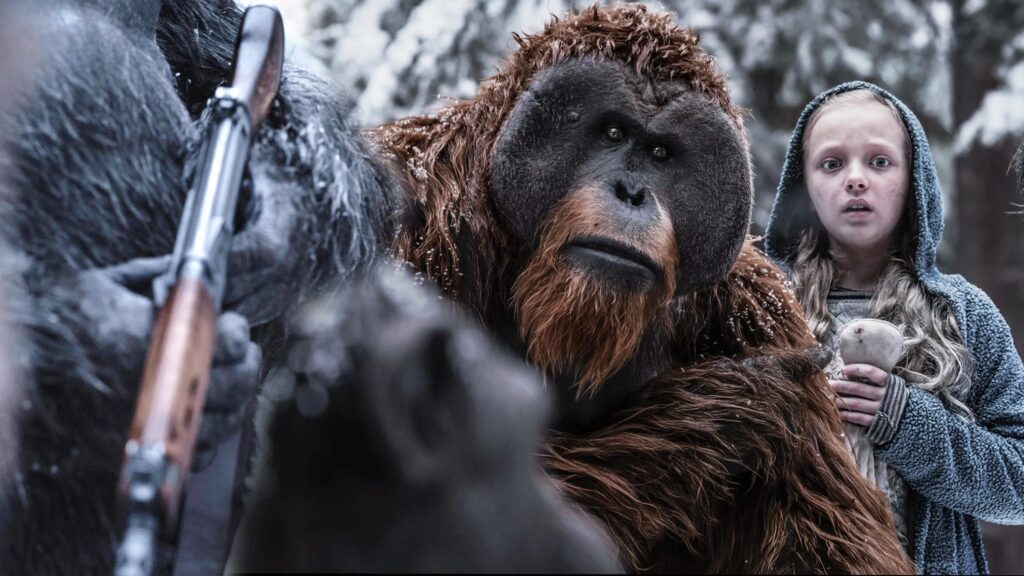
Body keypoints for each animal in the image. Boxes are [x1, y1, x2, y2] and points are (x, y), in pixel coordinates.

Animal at [372, 5, 916, 573]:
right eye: (612, 133)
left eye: (659, 154)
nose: (631, 192)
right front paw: (738, 399)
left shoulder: (755, 309)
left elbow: (835, 534)